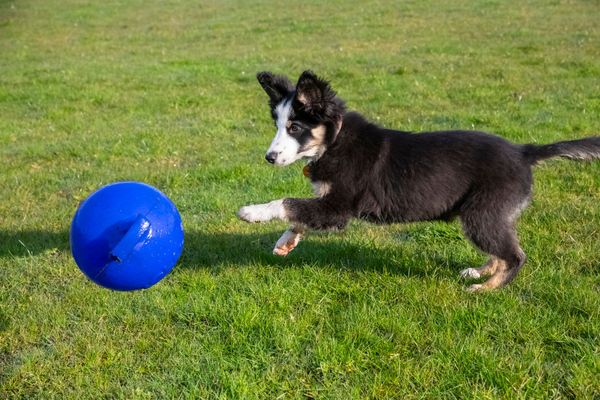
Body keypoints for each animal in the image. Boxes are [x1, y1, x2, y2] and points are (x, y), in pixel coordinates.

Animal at [237, 71, 596, 290]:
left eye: (295, 127)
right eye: (278, 125)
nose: (269, 158)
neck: (335, 139)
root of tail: (524, 152)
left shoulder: (338, 206)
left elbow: (288, 203)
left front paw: (252, 212)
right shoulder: (328, 203)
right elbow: (299, 215)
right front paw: (286, 241)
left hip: (482, 213)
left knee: (515, 255)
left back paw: (484, 288)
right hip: (489, 214)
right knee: (501, 250)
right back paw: (480, 272)